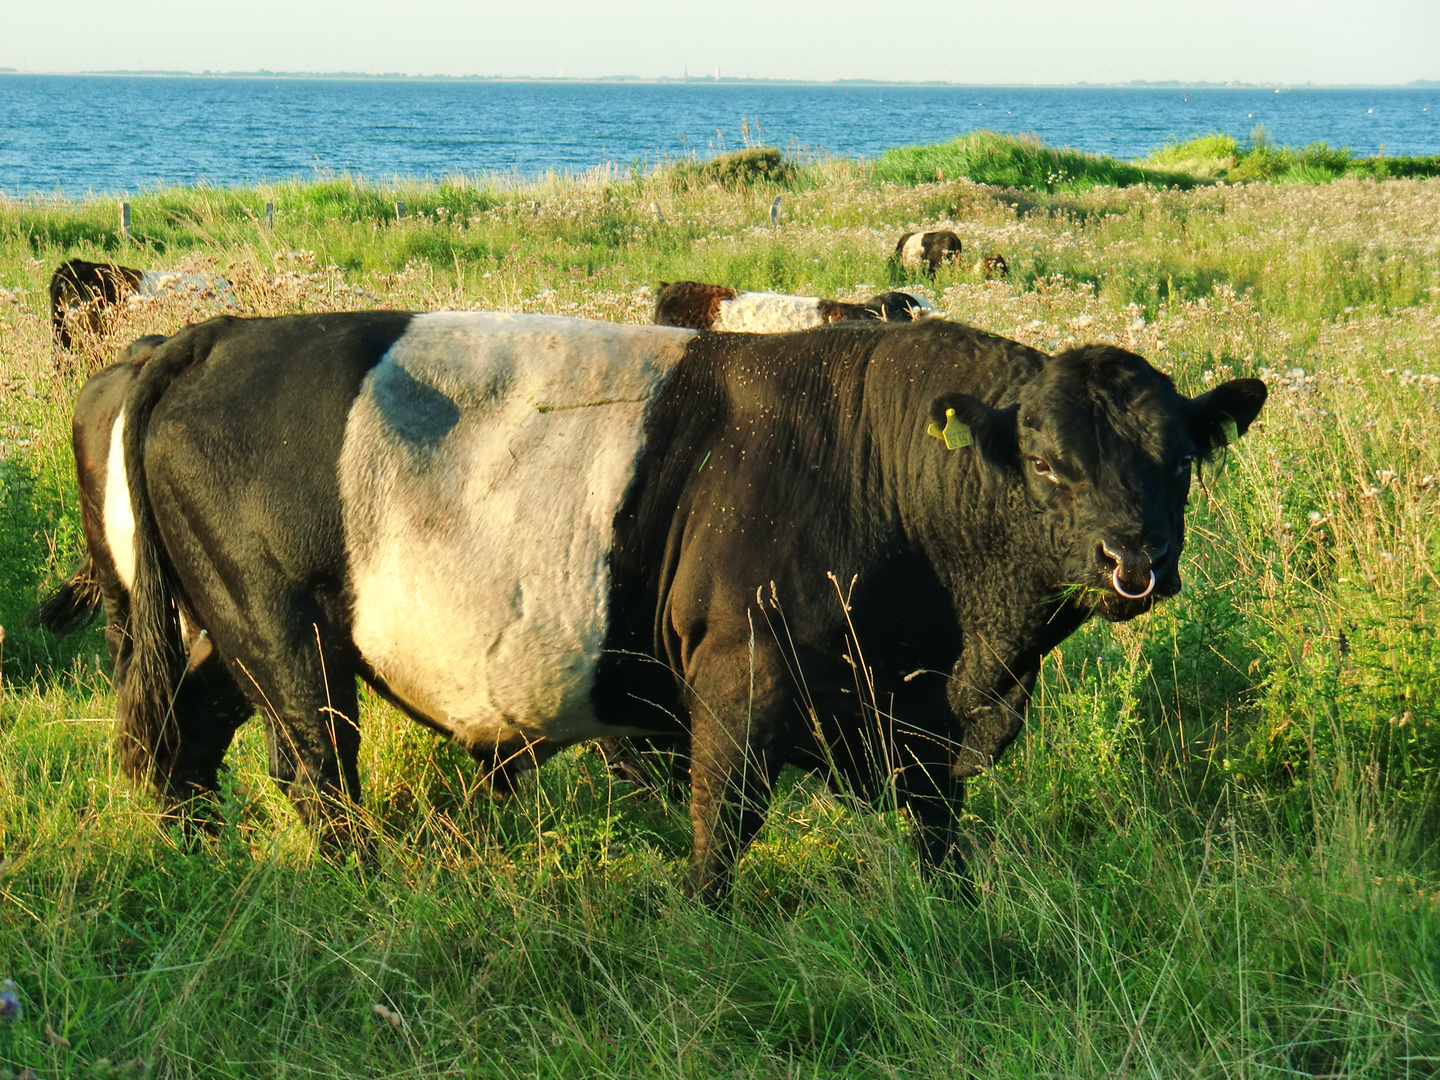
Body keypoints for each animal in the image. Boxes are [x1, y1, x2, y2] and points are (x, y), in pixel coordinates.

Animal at [39, 311, 1267, 898]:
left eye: (1180, 463)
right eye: (1050, 466)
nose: (1136, 559)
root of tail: (211, 335)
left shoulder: (911, 713)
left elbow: (935, 828)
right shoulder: (742, 671)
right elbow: (725, 820)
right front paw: (703, 923)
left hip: (226, 629)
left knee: (183, 742)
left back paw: (200, 856)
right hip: (281, 627)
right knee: (314, 771)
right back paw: (364, 890)